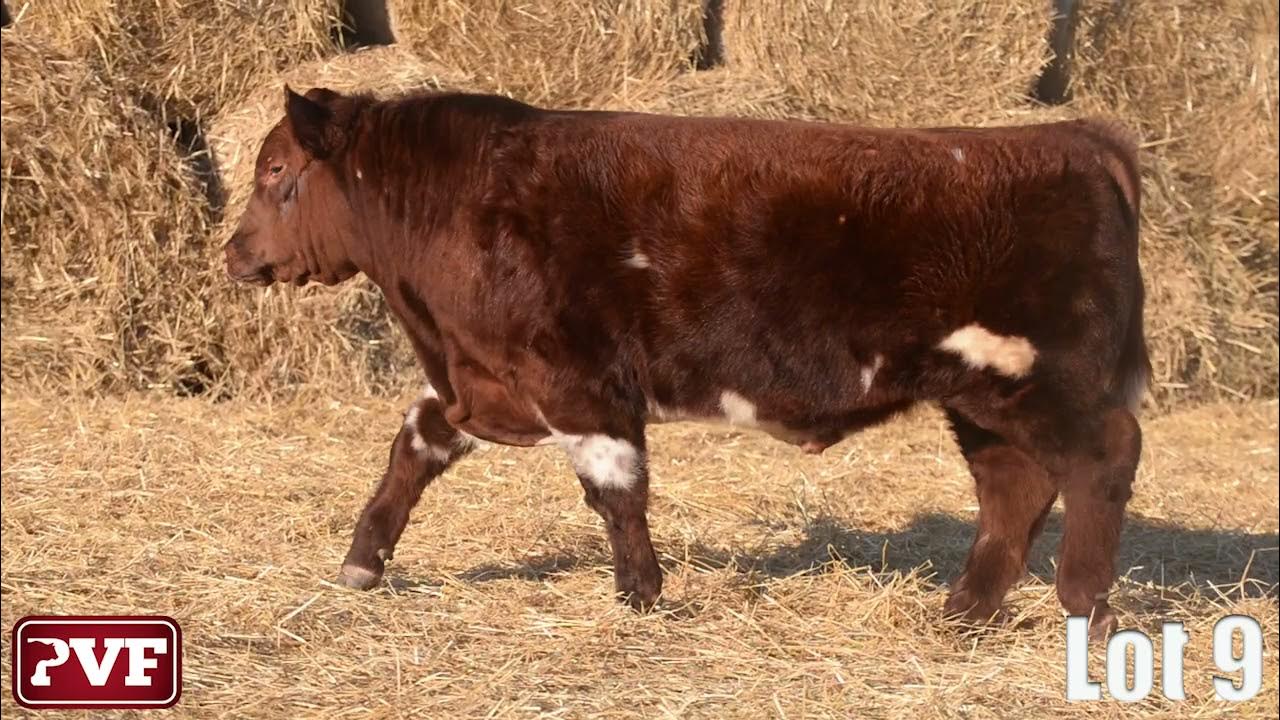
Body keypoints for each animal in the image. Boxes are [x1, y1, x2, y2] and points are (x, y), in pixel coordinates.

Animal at [225, 86, 1149, 640]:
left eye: (275, 170)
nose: (234, 253)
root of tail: (1080, 136)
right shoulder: (478, 381)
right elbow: (409, 452)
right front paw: (362, 563)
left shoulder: (581, 383)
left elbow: (617, 492)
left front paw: (640, 595)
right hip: (979, 395)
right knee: (1015, 486)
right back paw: (963, 611)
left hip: (1038, 379)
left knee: (1105, 454)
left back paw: (1086, 605)